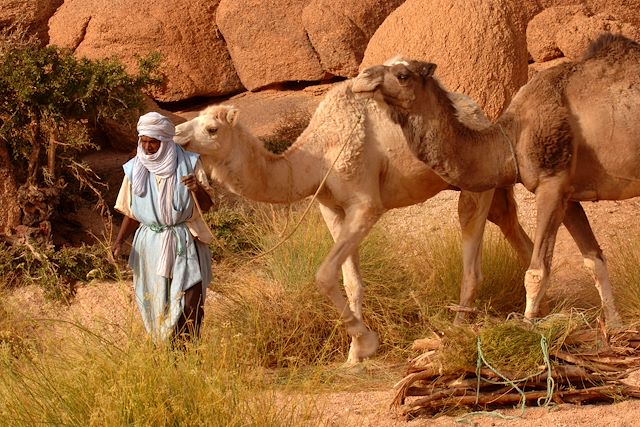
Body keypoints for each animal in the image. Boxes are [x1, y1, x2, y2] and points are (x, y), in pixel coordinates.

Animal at [175, 81, 536, 364]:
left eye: (211, 128)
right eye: (195, 119)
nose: (177, 132)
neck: (316, 157)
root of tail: (483, 116)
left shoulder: (365, 204)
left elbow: (324, 274)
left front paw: (366, 342)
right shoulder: (332, 209)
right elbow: (351, 281)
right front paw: (354, 354)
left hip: (474, 182)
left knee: (472, 249)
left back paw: (458, 333)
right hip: (482, 182)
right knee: (512, 226)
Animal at [352, 34, 640, 328]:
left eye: (402, 75)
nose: (362, 78)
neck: (510, 138)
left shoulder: (551, 184)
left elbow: (536, 272)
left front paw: (527, 328)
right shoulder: (569, 193)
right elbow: (594, 260)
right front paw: (615, 327)